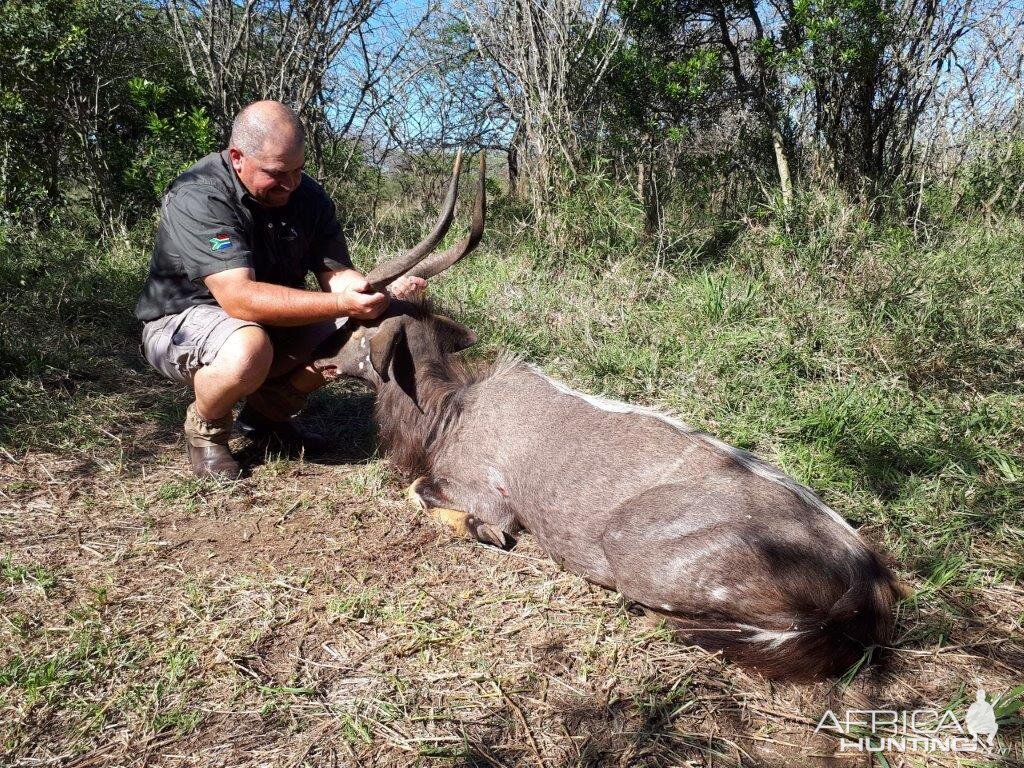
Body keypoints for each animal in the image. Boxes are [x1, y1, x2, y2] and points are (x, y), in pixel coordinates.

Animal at [315, 150, 901, 679]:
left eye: (357, 324)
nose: (322, 357)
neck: (449, 409)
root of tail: (868, 578)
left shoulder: (484, 493)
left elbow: (426, 496)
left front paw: (483, 533)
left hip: (634, 553)